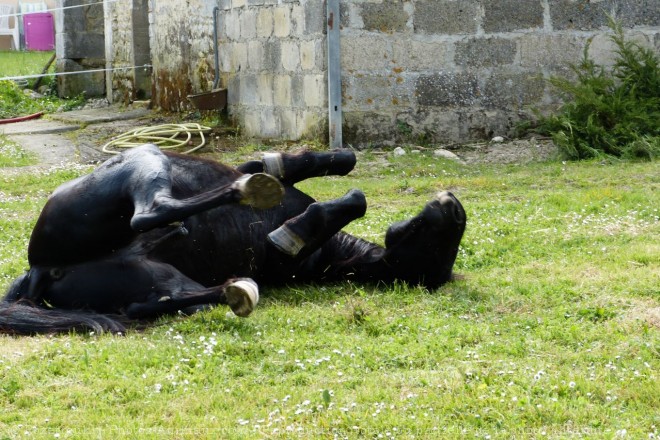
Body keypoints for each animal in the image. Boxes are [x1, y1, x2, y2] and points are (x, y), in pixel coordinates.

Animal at [0, 144, 466, 334]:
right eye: (434, 238)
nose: (453, 205)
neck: (328, 255)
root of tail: (39, 269)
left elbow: (347, 203)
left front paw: (290, 231)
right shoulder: (250, 167)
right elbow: (307, 167)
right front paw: (298, 168)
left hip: (146, 194)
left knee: (150, 236)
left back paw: (236, 281)